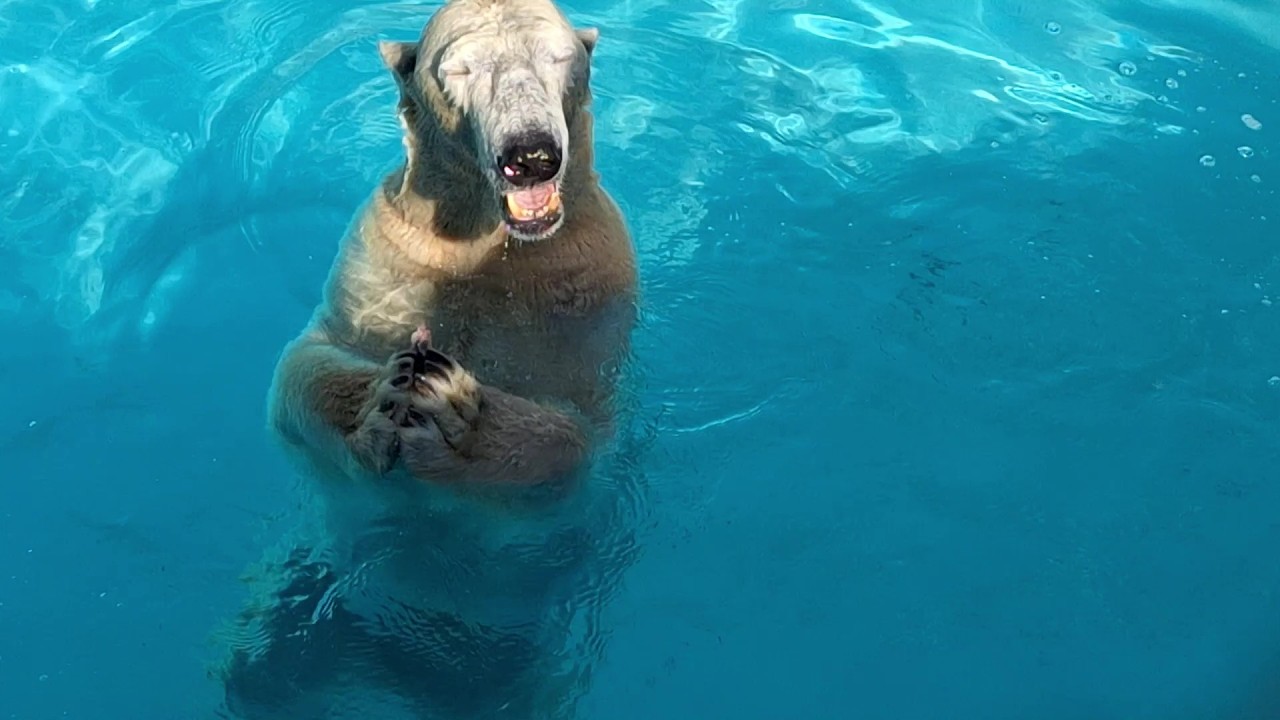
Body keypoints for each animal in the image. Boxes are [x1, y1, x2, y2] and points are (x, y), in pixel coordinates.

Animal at [211, 1, 640, 718]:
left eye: (559, 57)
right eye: (458, 70)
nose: (530, 155)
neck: (489, 249)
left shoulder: (588, 289)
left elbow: (581, 432)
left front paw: (453, 413)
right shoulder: (387, 255)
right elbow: (304, 361)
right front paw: (378, 402)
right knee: (267, 656)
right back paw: (279, 658)